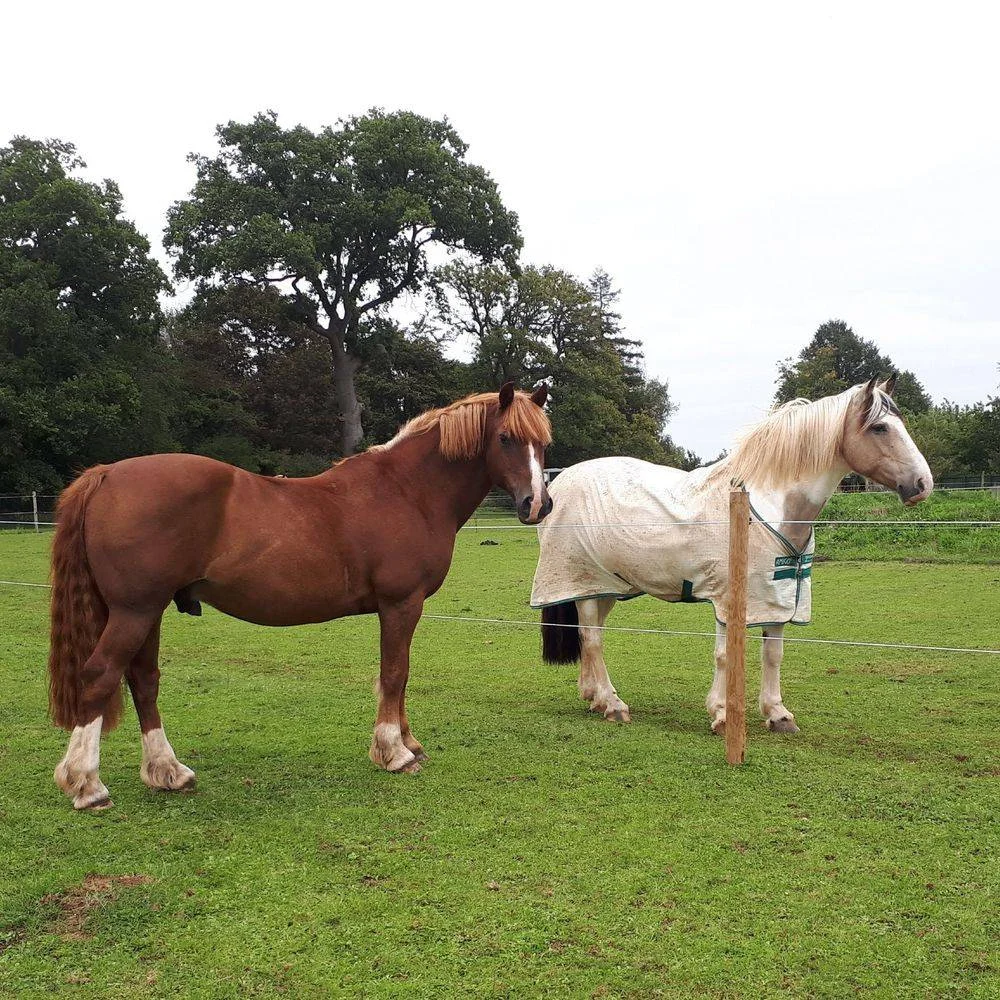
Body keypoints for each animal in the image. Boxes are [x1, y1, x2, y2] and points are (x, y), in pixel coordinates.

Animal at [50, 378, 556, 808]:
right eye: (506, 438)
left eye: (543, 444)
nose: (538, 504)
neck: (408, 491)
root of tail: (106, 474)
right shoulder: (401, 604)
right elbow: (394, 673)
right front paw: (394, 753)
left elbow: (401, 674)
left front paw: (410, 743)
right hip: (134, 611)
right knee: (100, 674)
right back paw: (87, 785)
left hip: (148, 611)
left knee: (143, 680)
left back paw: (168, 772)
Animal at [536, 378, 932, 732]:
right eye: (880, 427)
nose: (923, 484)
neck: (767, 504)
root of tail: (556, 483)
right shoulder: (728, 598)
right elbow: (725, 655)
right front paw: (723, 714)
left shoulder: (777, 596)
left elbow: (773, 654)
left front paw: (778, 714)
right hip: (582, 580)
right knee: (593, 638)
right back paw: (613, 704)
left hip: (604, 586)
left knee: (590, 634)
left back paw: (594, 697)